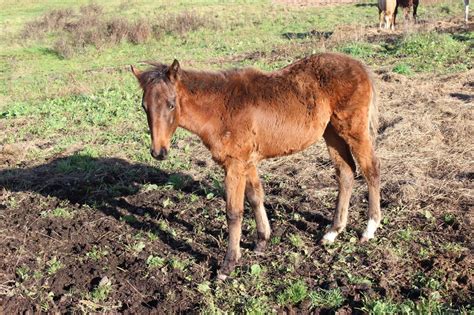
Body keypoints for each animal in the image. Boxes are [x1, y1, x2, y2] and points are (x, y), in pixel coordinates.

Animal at [130, 53, 382, 280]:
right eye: (144, 107)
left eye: (171, 105)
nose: (159, 152)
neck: (220, 108)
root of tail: (359, 65)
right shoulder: (248, 162)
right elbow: (255, 197)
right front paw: (262, 241)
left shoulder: (234, 164)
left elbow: (234, 212)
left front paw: (228, 265)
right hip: (331, 133)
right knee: (346, 173)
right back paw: (332, 232)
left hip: (353, 130)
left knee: (371, 170)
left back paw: (369, 228)